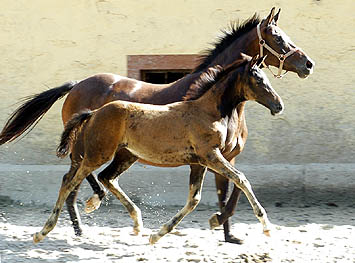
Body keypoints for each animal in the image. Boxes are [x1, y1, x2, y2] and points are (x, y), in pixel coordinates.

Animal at [0, 7, 312, 244]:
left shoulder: (218, 157)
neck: (215, 107)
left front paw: (226, 232)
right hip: (90, 149)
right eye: (278, 38)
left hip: (122, 153)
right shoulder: (212, 156)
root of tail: (78, 86)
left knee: (97, 178)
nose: (308, 64)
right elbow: (237, 185)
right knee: (75, 180)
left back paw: (97, 223)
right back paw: (81, 217)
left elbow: (228, 192)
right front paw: (233, 224)